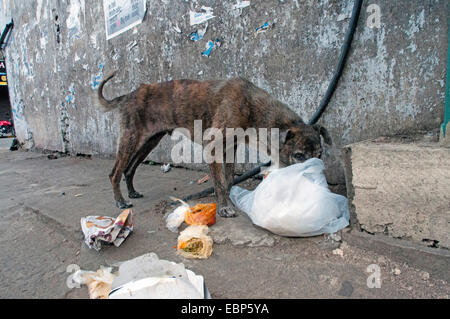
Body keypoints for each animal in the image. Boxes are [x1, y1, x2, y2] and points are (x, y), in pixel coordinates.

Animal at [98, 72, 330, 218]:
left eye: (320, 154)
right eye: (298, 155)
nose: (316, 185)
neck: (253, 107)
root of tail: (127, 96)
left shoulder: (231, 148)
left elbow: (228, 180)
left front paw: (229, 201)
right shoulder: (212, 146)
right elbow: (219, 182)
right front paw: (224, 209)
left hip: (149, 142)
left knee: (129, 169)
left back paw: (132, 192)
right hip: (130, 139)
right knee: (114, 172)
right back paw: (120, 201)